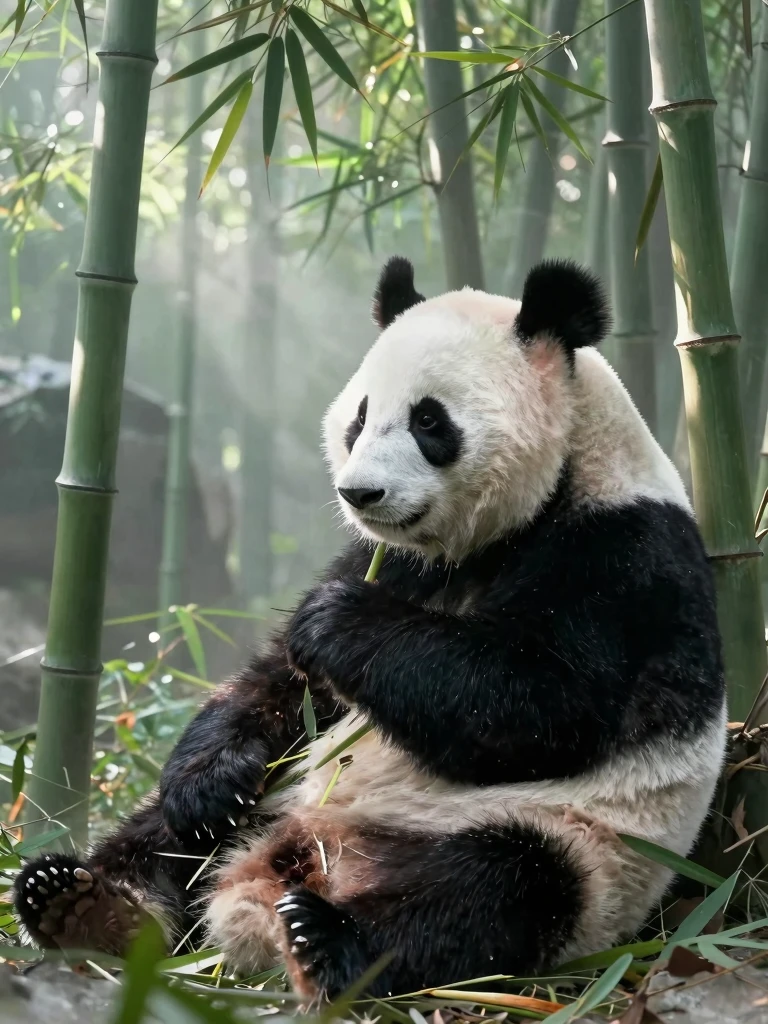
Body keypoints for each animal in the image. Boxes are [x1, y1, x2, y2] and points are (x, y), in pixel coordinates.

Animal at [15, 257, 726, 1001]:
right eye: (359, 417)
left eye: (429, 420)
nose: (360, 493)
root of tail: (293, 862)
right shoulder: (392, 560)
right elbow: (279, 685)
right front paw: (212, 782)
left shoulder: (625, 561)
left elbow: (544, 704)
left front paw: (335, 618)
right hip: (274, 802)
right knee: (161, 837)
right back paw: (89, 905)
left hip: (579, 847)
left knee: (492, 891)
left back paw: (328, 940)